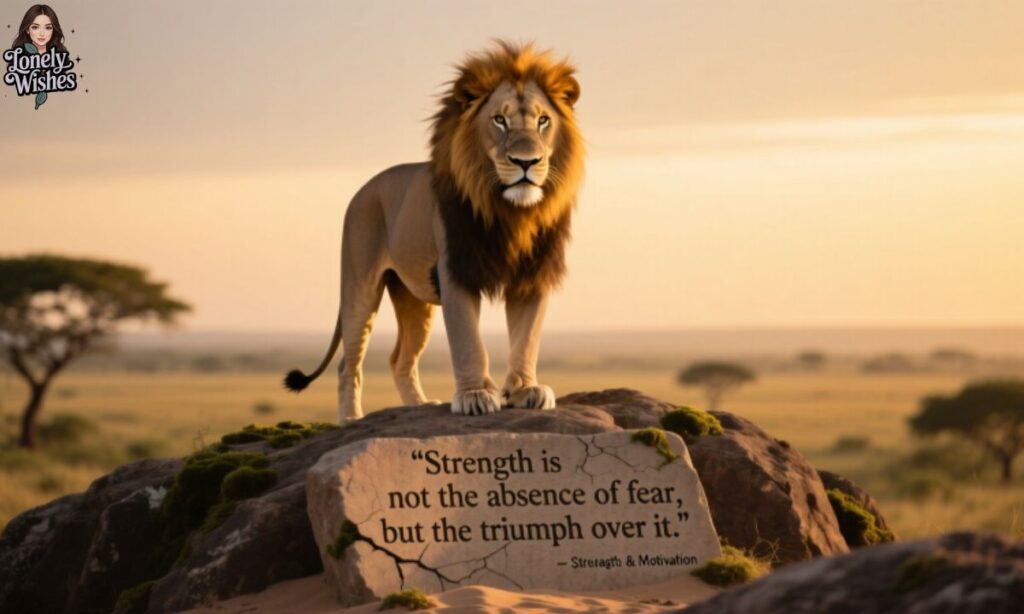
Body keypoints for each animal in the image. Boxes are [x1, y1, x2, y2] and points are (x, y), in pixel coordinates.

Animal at [284, 41, 584, 423]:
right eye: (499, 120)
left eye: (543, 120)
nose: (526, 162)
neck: (511, 213)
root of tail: (362, 189)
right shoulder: (456, 268)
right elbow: (468, 340)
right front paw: (474, 396)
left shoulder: (533, 273)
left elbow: (526, 338)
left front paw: (524, 390)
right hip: (360, 285)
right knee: (347, 363)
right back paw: (351, 419)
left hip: (413, 298)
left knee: (400, 359)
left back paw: (421, 405)